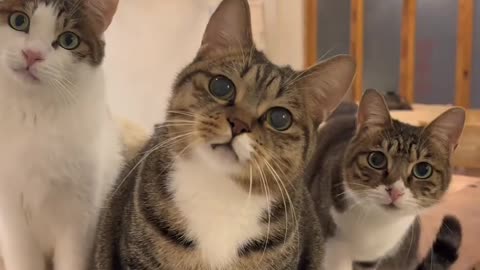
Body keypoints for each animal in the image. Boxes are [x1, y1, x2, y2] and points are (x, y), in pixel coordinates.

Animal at [0, 0, 123, 270]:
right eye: (19, 21)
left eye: (69, 40)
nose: (32, 54)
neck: (34, 115)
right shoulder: (12, 219)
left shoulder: (79, 221)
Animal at [304, 89, 464, 270]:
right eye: (376, 159)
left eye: (423, 170)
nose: (395, 191)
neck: (374, 223)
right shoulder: (329, 248)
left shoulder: (370, 259)